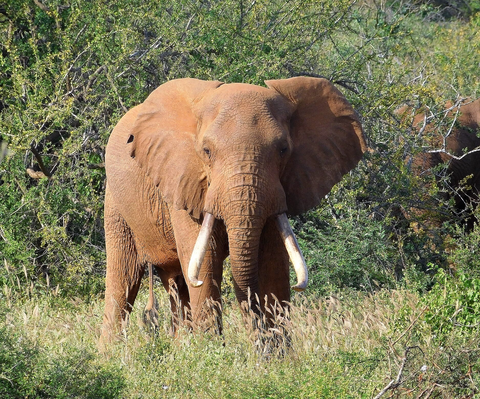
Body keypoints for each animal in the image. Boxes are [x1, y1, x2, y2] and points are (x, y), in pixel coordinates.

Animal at [99, 76, 366, 340]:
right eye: (206, 151)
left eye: (283, 149)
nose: (260, 341)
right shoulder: (184, 181)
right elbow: (205, 268)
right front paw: (212, 349)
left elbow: (273, 267)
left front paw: (276, 348)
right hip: (115, 204)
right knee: (123, 281)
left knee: (175, 284)